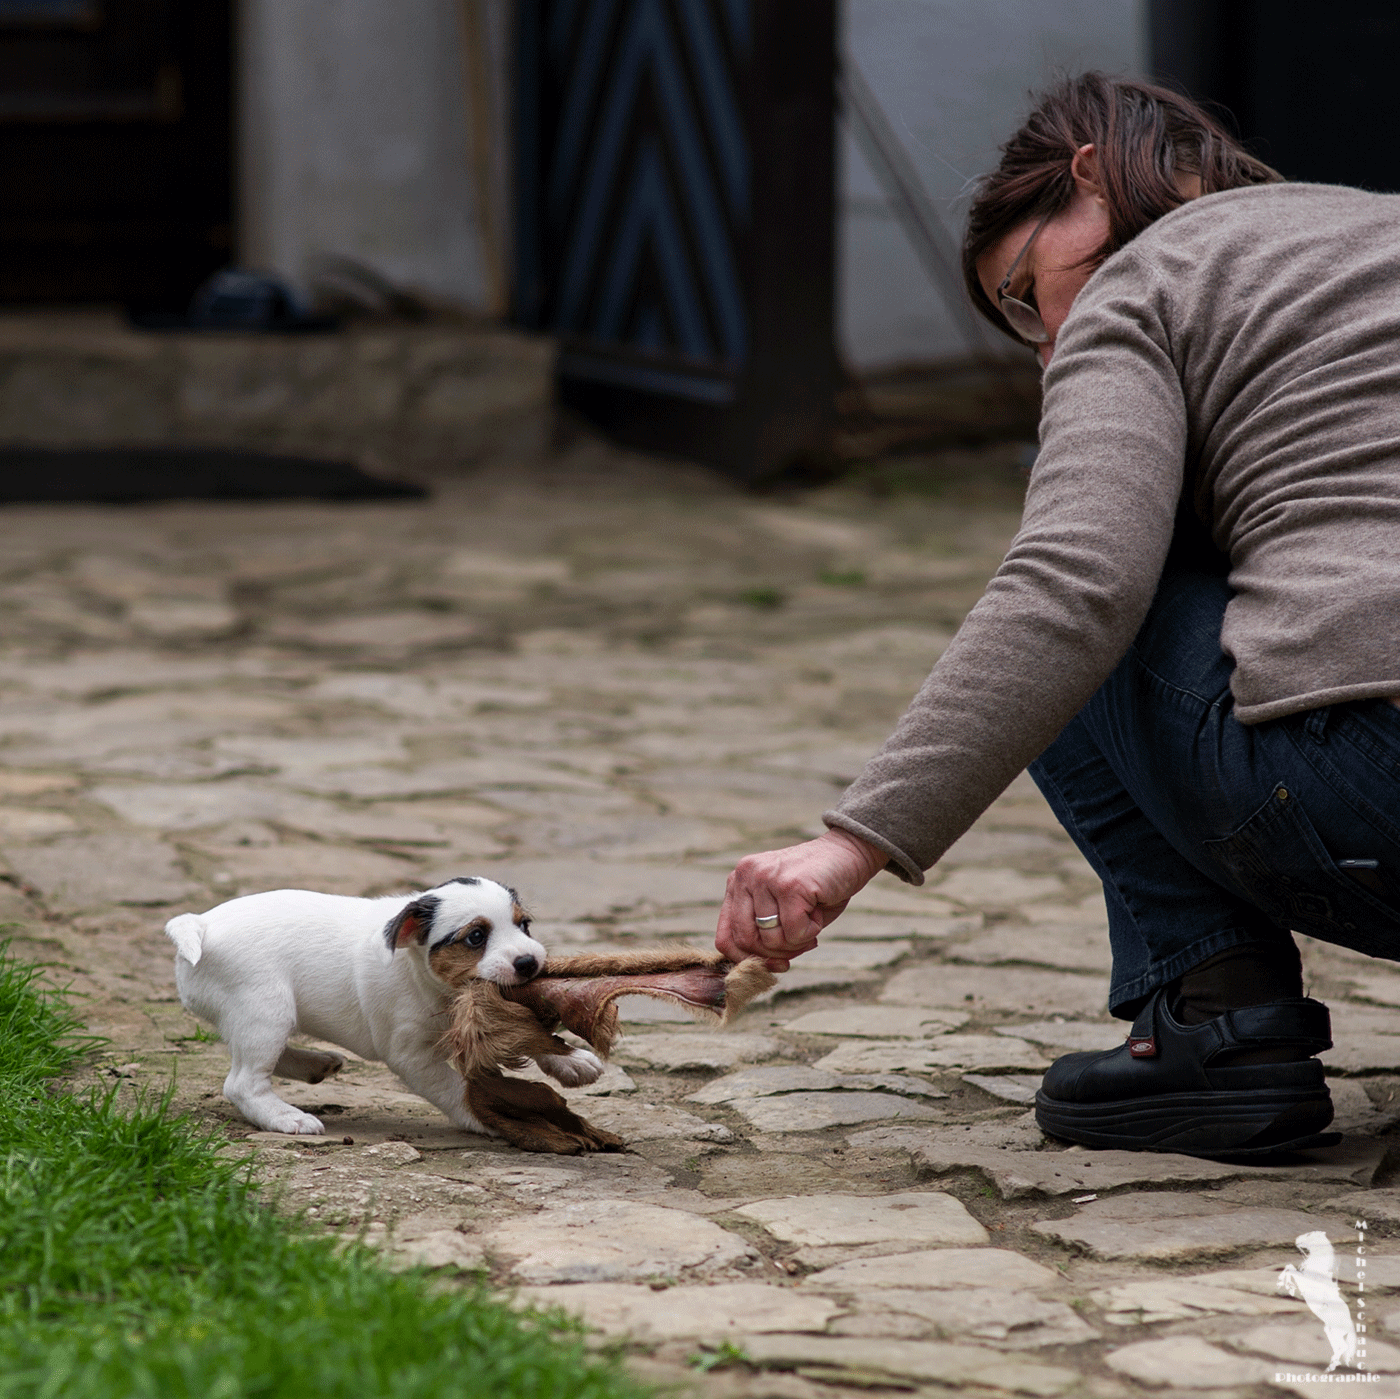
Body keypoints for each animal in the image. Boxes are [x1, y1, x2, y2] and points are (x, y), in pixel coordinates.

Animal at [163, 873, 602, 1137]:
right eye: (476, 937)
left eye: (523, 925)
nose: (529, 963)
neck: (427, 980)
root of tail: (200, 923)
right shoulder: (411, 1056)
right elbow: (456, 1088)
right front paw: (492, 1115)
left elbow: (527, 1031)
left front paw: (572, 1060)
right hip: (266, 1008)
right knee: (243, 1082)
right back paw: (287, 1117)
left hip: (261, 1016)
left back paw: (315, 1065)